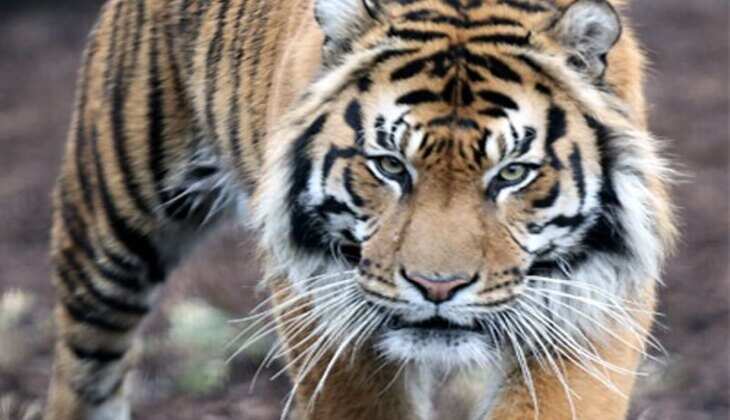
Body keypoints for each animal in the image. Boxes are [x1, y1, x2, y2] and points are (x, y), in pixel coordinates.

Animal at [46, 0, 678, 419]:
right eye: (391, 166)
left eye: (511, 174)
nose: (438, 287)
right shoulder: (321, 302)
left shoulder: (595, 301)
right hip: (113, 224)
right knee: (85, 368)